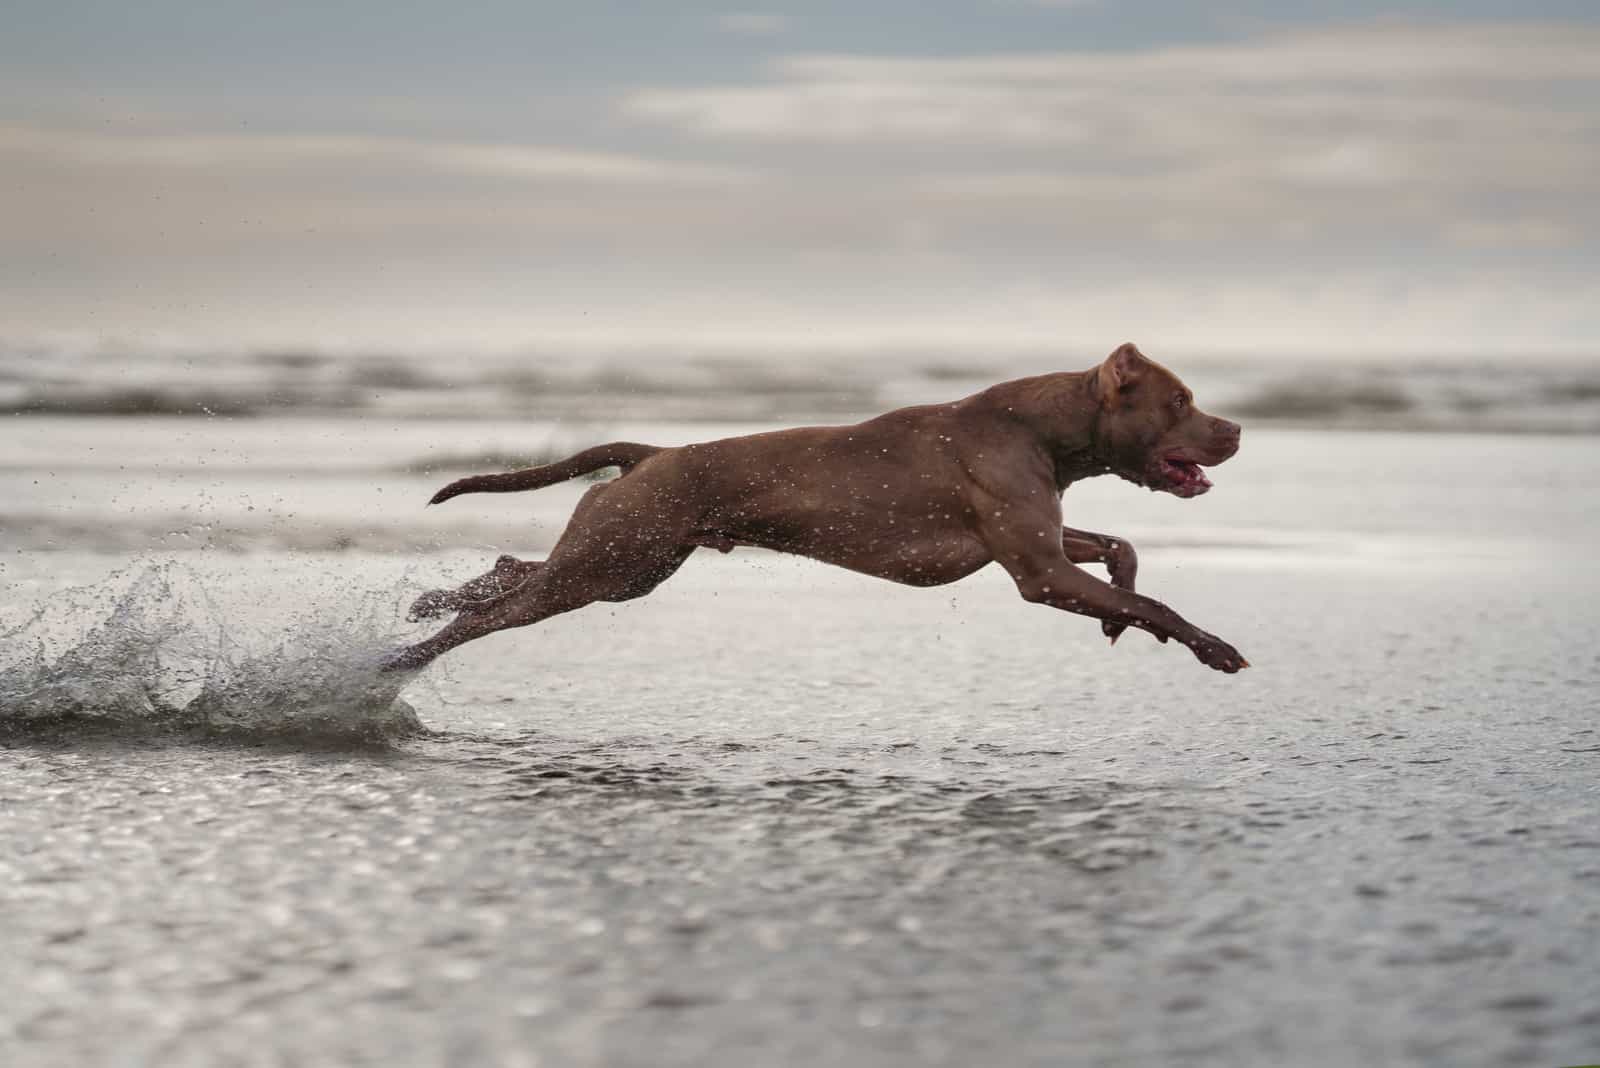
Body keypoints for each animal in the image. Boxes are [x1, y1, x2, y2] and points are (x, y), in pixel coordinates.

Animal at [390, 342, 1248, 671]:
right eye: (1180, 401)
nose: (1237, 428)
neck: (1041, 425)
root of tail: (651, 452)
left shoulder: (1042, 542)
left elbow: (1121, 552)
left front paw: (1120, 615)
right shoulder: (1037, 570)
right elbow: (1157, 601)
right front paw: (1210, 646)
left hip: (627, 566)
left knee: (510, 570)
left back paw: (430, 604)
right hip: (606, 565)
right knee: (493, 613)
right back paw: (404, 658)